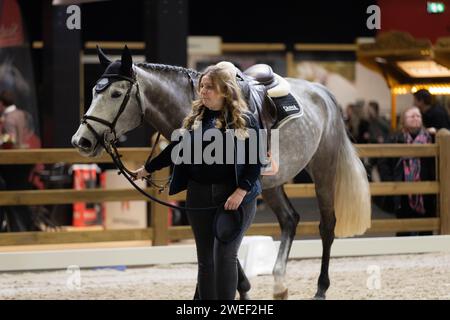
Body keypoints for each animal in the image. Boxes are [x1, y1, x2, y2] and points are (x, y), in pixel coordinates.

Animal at [72, 45, 370, 300]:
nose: (81, 141)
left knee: (327, 226)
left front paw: (241, 290)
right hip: (272, 184)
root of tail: (321, 92)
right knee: (289, 220)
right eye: (94, 91)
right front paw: (236, 289)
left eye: (115, 94)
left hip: (323, 170)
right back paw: (279, 285)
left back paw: (321, 288)